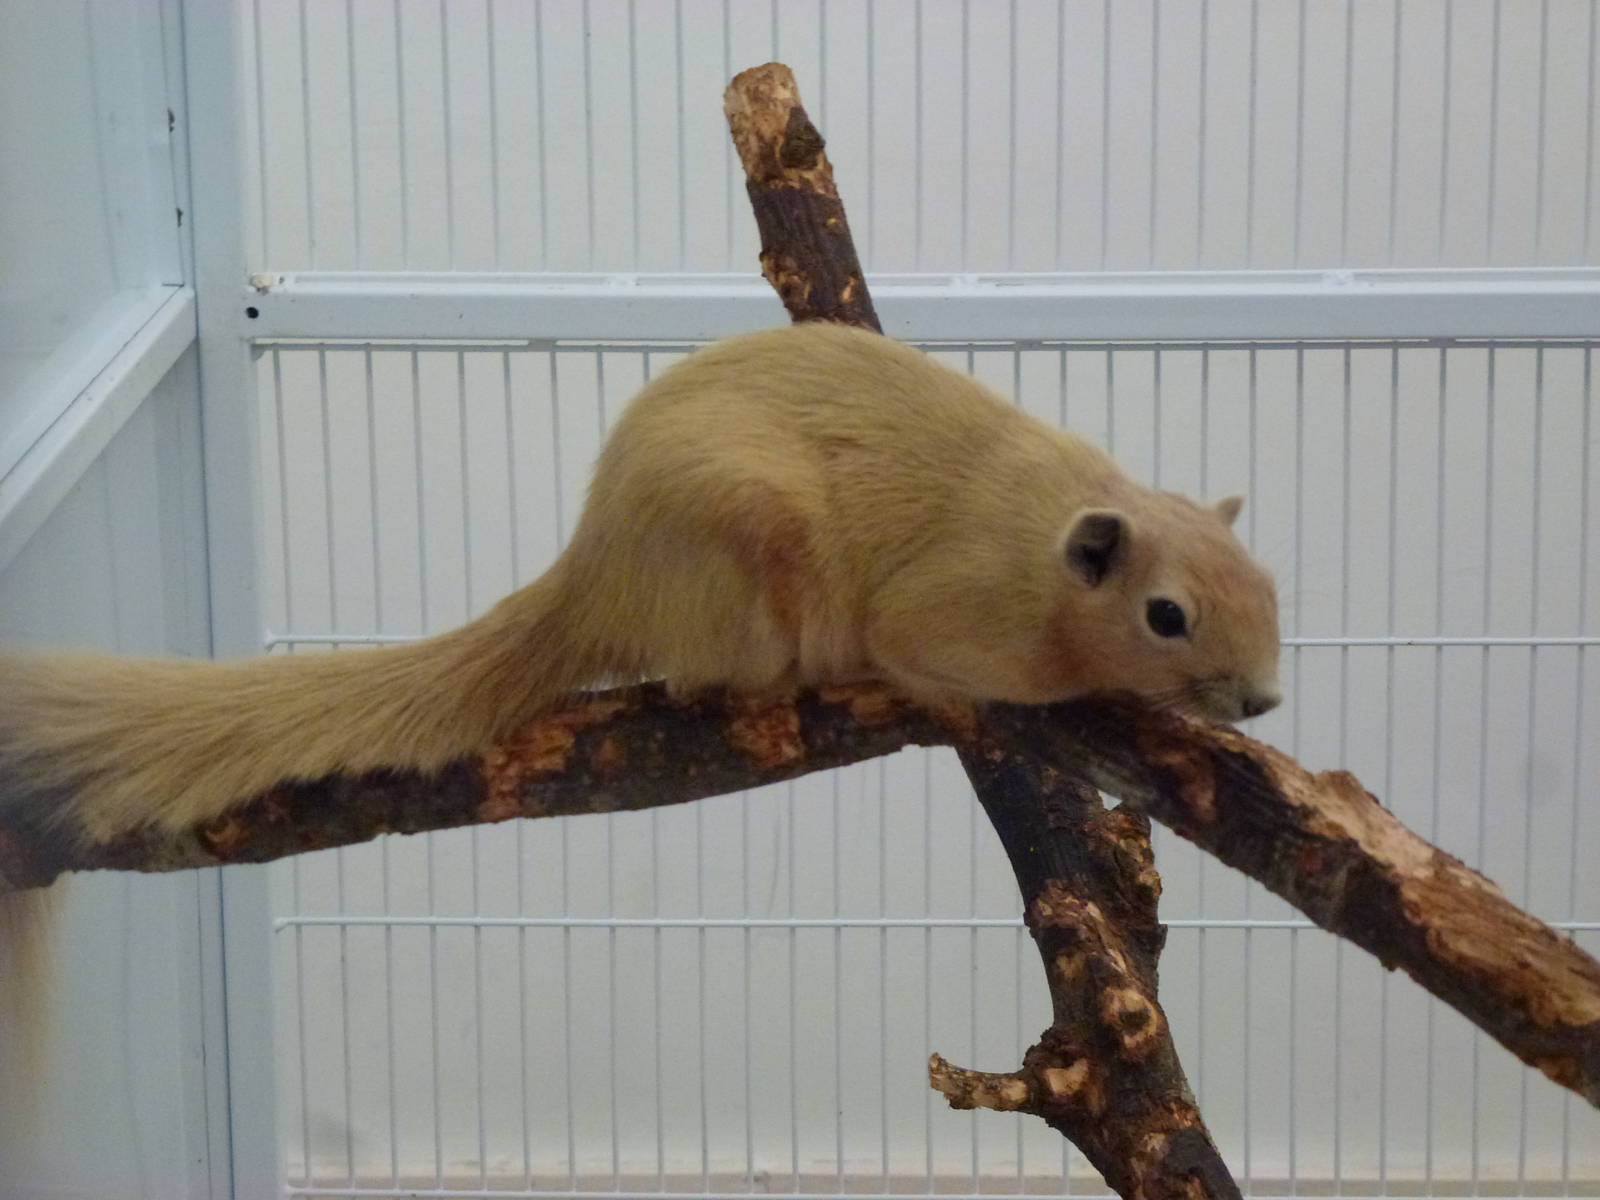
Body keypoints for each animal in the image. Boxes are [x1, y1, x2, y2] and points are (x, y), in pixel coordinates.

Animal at [0, 323, 1280, 846]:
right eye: (1167, 614)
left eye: (1270, 587)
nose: (1264, 699)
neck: (1045, 559)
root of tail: (591, 578)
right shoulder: (952, 617)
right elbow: (946, 664)